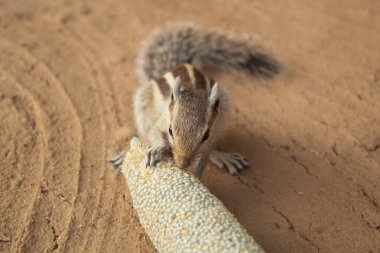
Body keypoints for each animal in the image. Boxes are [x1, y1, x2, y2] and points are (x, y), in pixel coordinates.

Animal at [110, 23, 280, 178]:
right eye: (170, 130)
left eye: (205, 136)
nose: (182, 164)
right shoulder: (161, 120)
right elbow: (154, 134)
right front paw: (156, 150)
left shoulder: (211, 134)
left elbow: (204, 156)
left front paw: (197, 176)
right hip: (143, 103)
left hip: (223, 112)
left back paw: (222, 156)